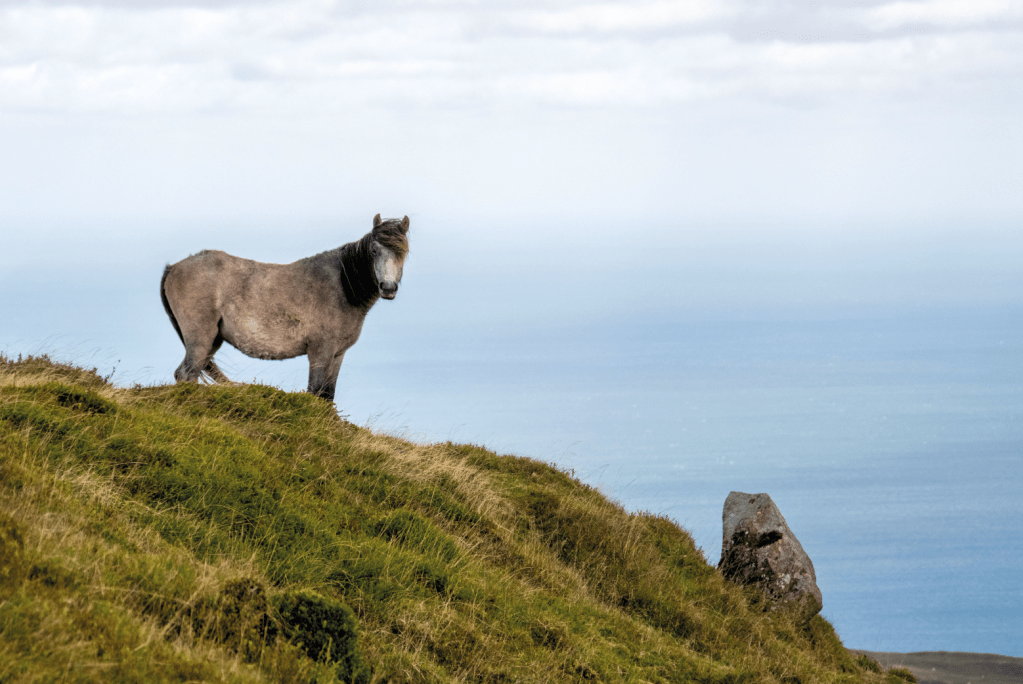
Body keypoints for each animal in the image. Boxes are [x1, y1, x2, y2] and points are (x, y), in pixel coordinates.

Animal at [160, 214, 409, 402]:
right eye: (374, 250)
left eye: (403, 252)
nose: (388, 288)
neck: (342, 286)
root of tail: (173, 267)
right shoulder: (320, 351)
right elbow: (315, 392)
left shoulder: (338, 353)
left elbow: (327, 396)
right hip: (200, 339)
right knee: (187, 374)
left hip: (213, 341)